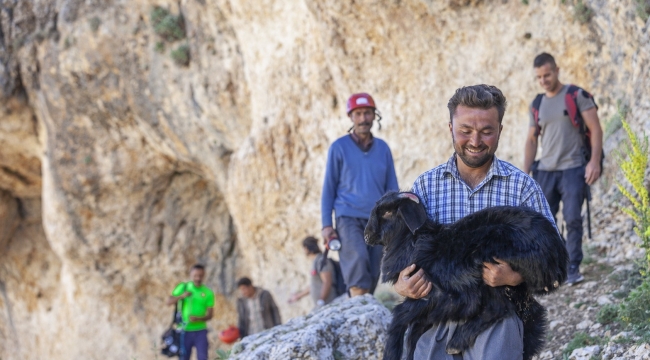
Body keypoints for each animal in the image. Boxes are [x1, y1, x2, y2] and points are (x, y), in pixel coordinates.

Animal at [364, 191, 568, 360]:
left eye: (387, 213)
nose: (367, 235)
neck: (411, 244)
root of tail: (558, 256)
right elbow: (414, 330)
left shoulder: (439, 295)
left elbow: (399, 317)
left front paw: (391, 353)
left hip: (491, 268)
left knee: (499, 307)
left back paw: (456, 342)